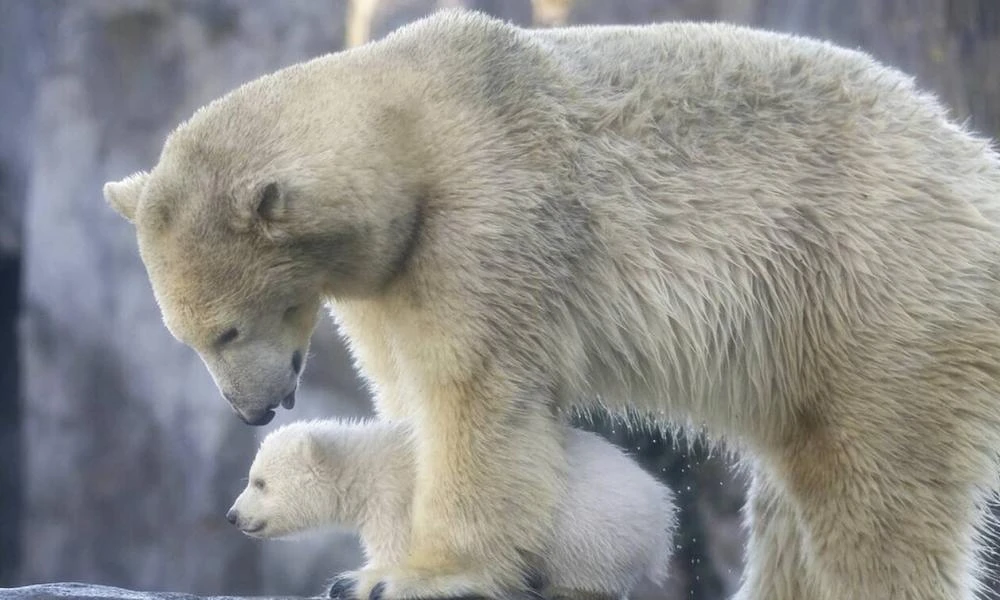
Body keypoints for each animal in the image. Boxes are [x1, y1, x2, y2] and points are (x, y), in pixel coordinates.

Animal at [103, 8, 1000, 600]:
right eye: (184, 336)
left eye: (226, 329)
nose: (253, 411)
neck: (413, 126)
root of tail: (971, 161)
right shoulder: (388, 278)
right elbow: (408, 394)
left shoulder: (488, 220)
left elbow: (477, 396)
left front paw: (417, 574)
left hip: (871, 289)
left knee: (873, 488)